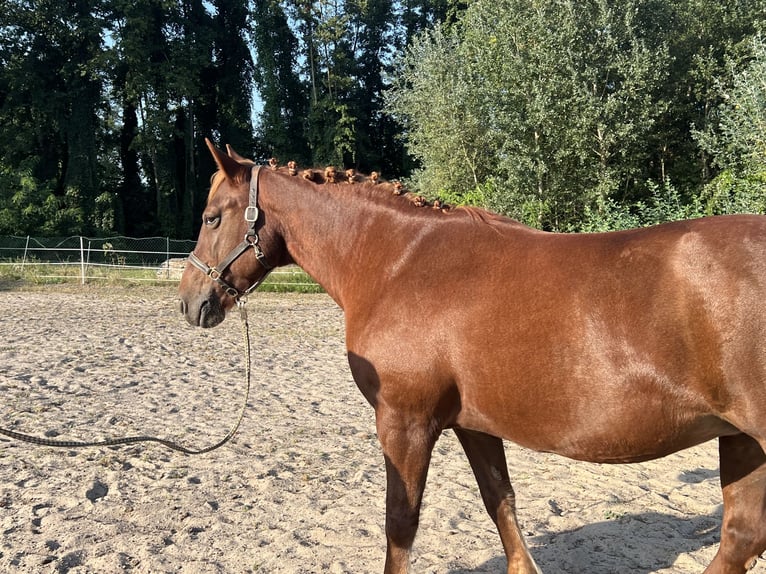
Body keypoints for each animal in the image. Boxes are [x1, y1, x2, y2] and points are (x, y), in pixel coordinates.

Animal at [182, 141, 766, 574]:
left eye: (211, 218)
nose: (191, 301)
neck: (399, 261)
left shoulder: (404, 423)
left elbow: (401, 523)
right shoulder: (473, 423)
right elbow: (499, 500)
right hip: (741, 440)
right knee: (741, 537)